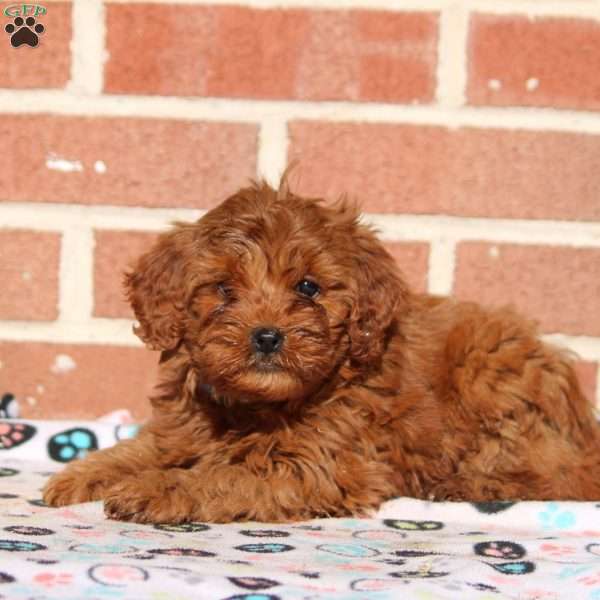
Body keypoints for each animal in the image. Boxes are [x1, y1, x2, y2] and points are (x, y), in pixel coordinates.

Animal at [44, 180, 600, 524]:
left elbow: (222, 476)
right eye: (223, 289)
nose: (267, 336)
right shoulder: (184, 429)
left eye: (308, 287)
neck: (258, 405)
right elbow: (146, 449)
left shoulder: (320, 463)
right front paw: (83, 473)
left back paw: (466, 484)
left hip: (489, 367)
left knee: (553, 473)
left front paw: (155, 490)